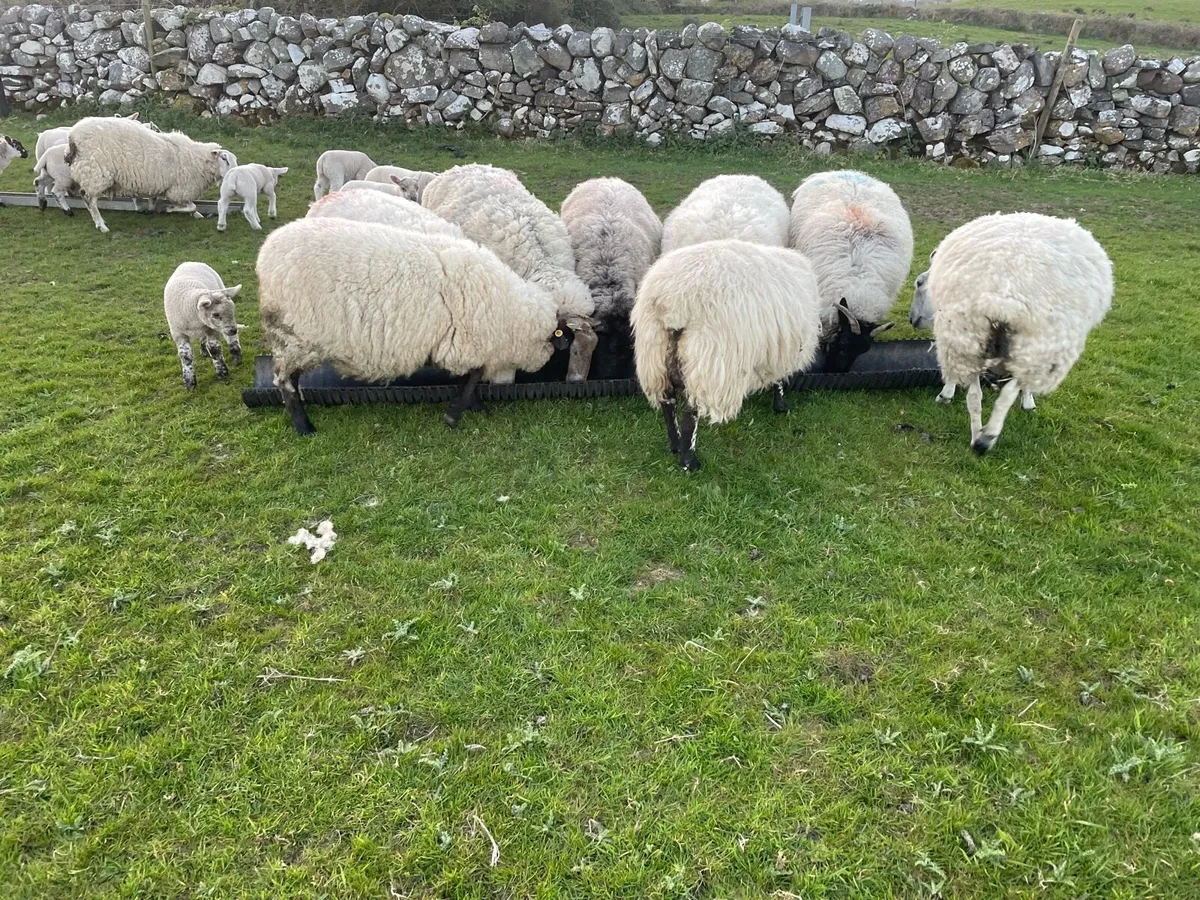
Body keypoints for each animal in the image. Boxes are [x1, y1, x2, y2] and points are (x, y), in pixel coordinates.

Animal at [65, 117, 237, 233]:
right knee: (89, 199)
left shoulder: (162, 186)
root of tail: (73, 137)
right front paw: (169, 209)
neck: (197, 159)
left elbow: (162, 201)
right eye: (224, 158)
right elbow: (190, 205)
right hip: (95, 173)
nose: (234, 173)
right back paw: (101, 225)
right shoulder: (178, 189)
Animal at [163, 262, 243, 390]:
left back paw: (236, 356)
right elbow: (185, 355)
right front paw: (189, 383)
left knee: (229, 339)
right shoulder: (178, 332)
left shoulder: (211, 329)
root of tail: (190, 262)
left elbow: (215, 350)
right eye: (215, 314)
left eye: (233, 310)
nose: (233, 330)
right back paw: (204, 351)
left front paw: (222, 373)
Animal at [257, 217, 575, 434]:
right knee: (285, 382)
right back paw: (303, 426)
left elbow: (468, 378)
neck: (513, 311)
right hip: (294, 334)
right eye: (563, 343)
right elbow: (472, 378)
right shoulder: (467, 342)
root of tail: (265, 254)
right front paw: (458, 413)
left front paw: (473, 407)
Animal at [632, 240, 822, 472]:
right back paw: (689, 462)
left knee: (668, 404)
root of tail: (672, 305)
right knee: (689, 416)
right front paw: (781, 406)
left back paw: (675, 446)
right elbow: (779, 380)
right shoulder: (781, 348)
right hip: (707, 360)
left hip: (655, 355)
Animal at [908, 212, 1113, 455]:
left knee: (976, 396)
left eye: (919, 282)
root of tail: (1003, 296)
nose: (911, 319)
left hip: (977, 337)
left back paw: (979, 437)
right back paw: (987, 437)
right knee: (1004, 394)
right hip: (1033, 342)